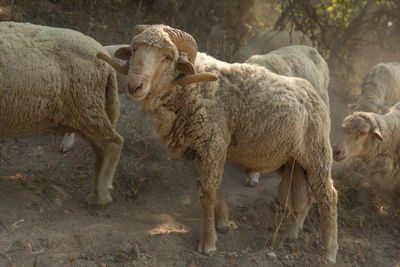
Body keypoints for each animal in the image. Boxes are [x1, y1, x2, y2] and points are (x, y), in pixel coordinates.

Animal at [0, 22, 123, 207]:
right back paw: (94, 196)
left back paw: (102, 193)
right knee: (101, 151)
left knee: (115, 143)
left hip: (87, 108)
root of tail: (105, 61)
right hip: (78, 116)